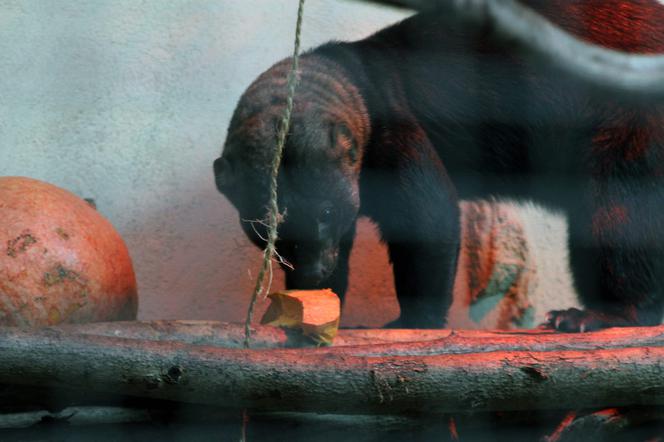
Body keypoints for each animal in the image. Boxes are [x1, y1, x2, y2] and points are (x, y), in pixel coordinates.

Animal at [217, 0, 664, 330]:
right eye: (264, 227)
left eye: (326, 211)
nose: (311, 272)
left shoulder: (400, 143)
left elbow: (429, 228)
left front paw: (411, 323)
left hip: (623, 170)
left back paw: (584, 317)